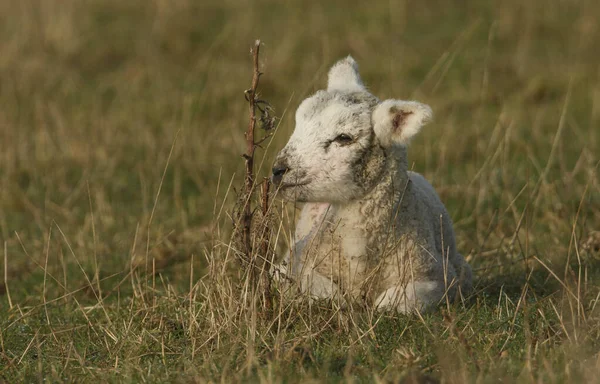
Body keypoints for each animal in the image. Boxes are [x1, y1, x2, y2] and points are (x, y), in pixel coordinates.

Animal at [272, 57, 474, 314]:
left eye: (344, 138)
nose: (278, 170)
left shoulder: (440, 277)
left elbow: (393, 303)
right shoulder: (296, 265)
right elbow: (327, 294)